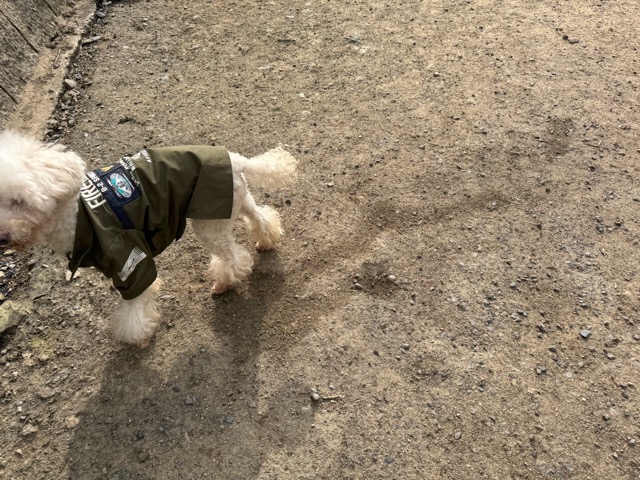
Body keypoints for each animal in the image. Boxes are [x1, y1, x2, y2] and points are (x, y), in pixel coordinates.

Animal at [0, 130, 297, 347]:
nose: (3, 238)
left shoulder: (128, 260)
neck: (77, 214)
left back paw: (224, 282)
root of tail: (237, 160)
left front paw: (138, 337)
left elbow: (134, 307)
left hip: (209, 222)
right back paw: (266, 240)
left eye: (19, 201)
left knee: (235, 258)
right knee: (261, 217)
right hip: (235, 201)